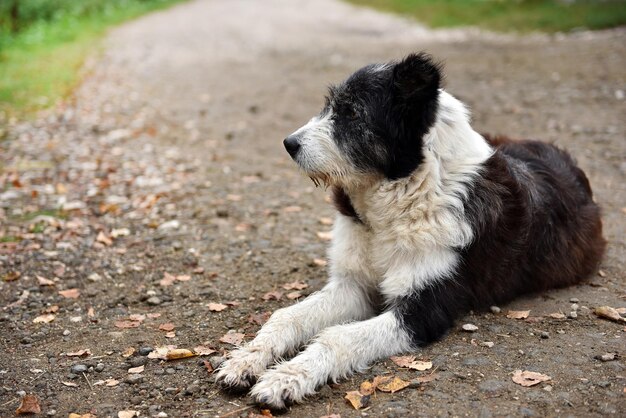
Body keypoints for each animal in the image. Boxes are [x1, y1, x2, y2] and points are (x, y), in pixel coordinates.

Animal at [216, 52, 604, 408]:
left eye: (353, 113)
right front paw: (246, 359)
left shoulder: (423, 310)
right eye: (329, 106)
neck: (407, 192)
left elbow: (337, 337)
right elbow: (287, 316)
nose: (289, 144)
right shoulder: (354, 286)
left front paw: (285, 378)